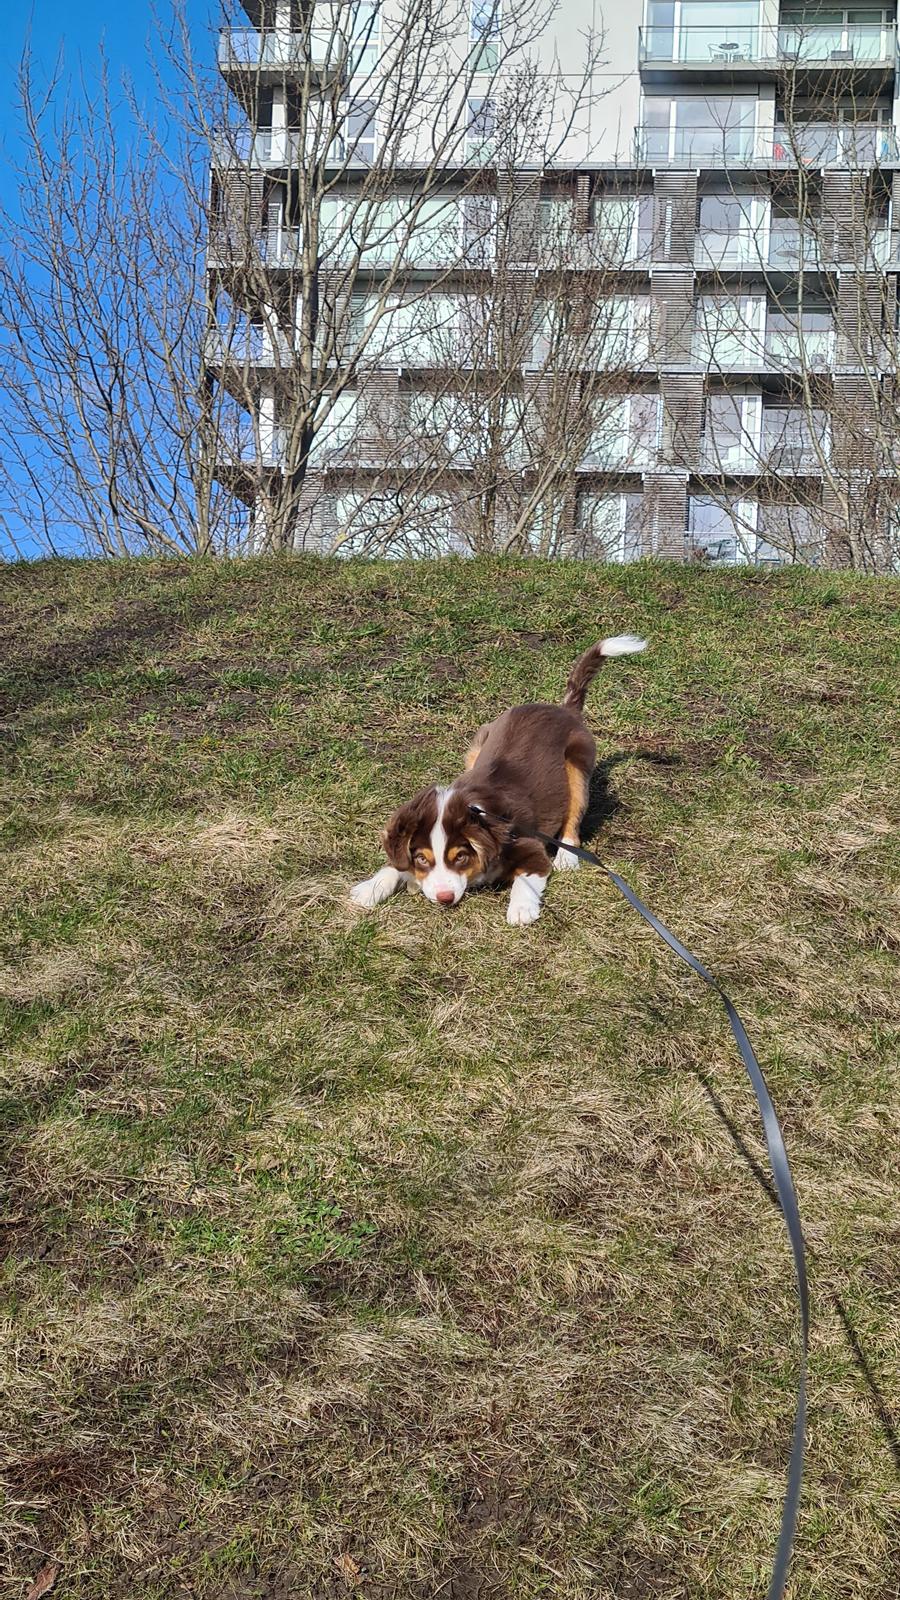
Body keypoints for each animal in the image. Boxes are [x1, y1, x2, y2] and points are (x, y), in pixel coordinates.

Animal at [350, 630, 643, 921]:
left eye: (460, 857)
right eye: (422, 858)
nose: (445, 898)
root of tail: (564, 709)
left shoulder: (531, 847)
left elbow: (526, 878)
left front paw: (522, 909)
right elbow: (396, 864)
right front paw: (369, 889)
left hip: (577, 766)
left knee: (573, 817)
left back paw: (566, 857)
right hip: (478, 745)